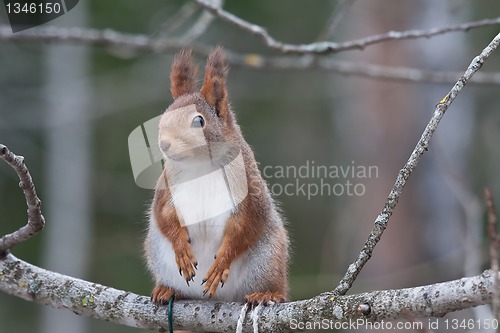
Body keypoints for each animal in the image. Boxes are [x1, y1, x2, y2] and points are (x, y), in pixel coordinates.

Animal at [145, 48, 290, 304]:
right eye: (164, 116)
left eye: (198, 120)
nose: (164, 143)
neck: (200, 165)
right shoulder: (167, 186)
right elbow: (164, 215)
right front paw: (182, 250)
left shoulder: (247, 189)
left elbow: (245, 225)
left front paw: (221, 263)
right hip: (157, 252)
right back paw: (168, 290)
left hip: (268, 257)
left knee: (273, 283)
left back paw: (267, 293)